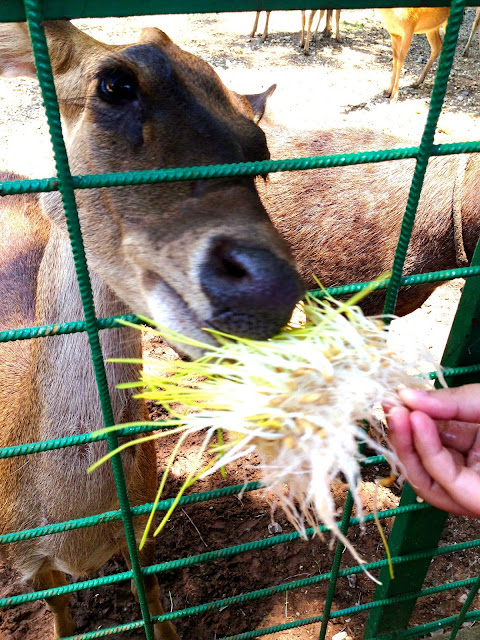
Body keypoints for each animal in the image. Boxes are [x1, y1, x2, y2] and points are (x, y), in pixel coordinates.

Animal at [0, 20, 304, 640]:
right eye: (115, 83)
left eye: (260, 156)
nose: (268, 287)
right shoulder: (28, 564)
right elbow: (60, 615)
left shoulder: (143, 524)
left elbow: (158, 606)